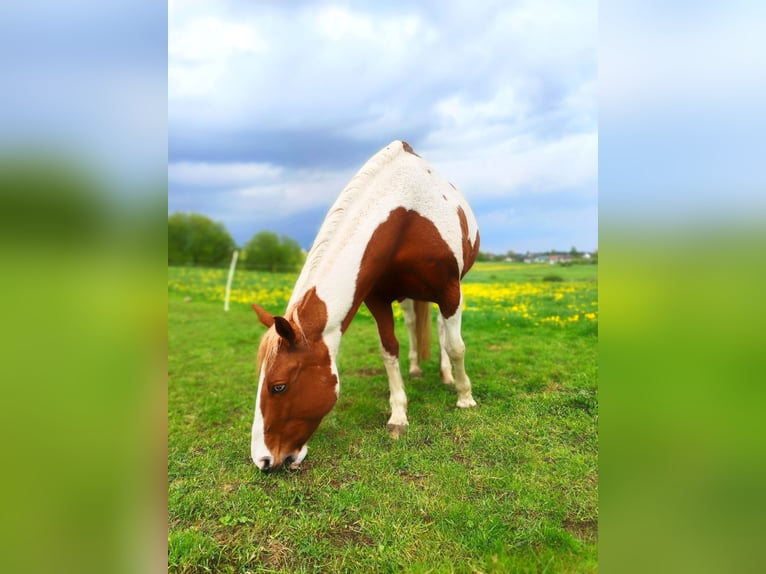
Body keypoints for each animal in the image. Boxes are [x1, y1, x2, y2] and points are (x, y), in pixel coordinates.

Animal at [250, 140, 480, 471]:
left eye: (278, 386)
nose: (263, 460)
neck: (407, 215)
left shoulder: (449, 291)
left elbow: (456, 346)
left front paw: (465, 397)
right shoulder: (377, 299)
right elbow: (389, 351)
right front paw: (398, 415)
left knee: (440, 330)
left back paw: (447, 375)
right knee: (413, 323)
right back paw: (415, 368)